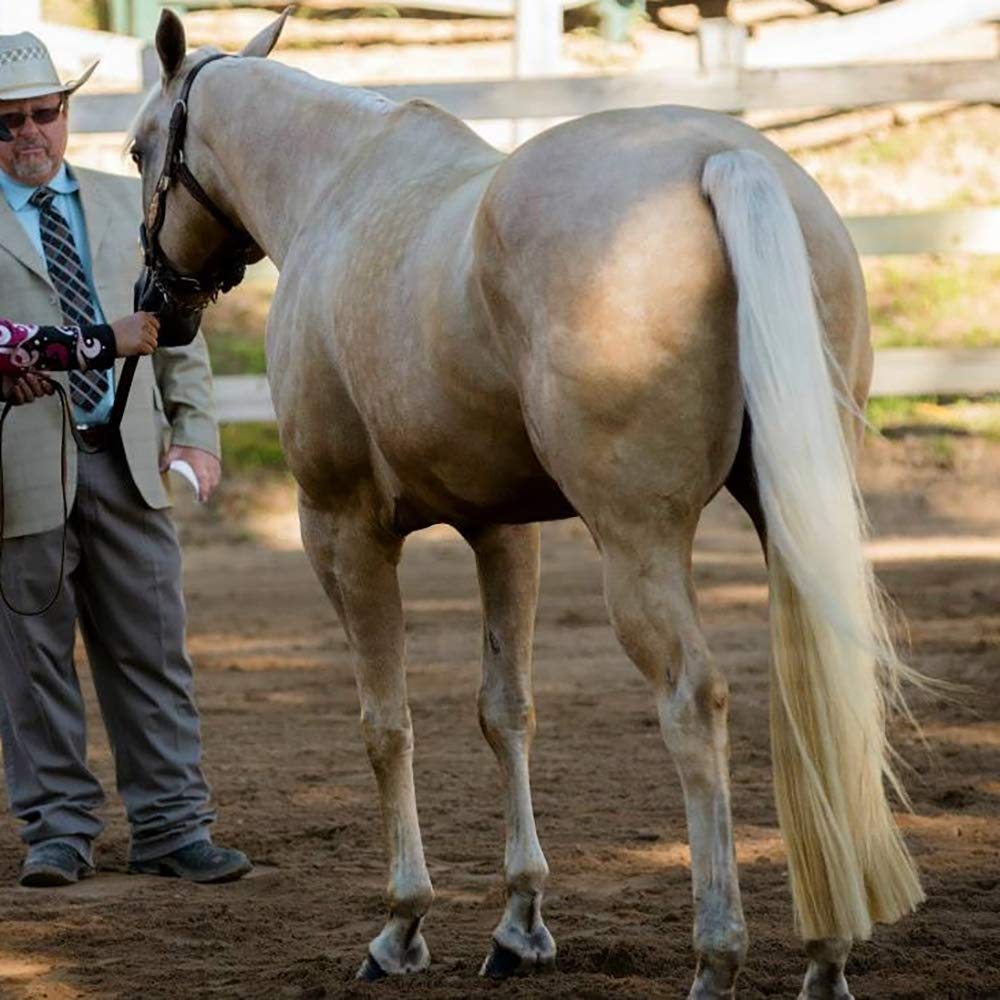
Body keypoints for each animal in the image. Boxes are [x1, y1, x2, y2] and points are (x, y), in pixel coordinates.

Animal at [129, 10, 924, 997]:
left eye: (136, 150)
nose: (155, 303)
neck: (336, 186)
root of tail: (724, 158)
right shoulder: (503, 532)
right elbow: (504, 711)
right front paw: (520, 922)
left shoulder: (343, 533)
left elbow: (385, 725)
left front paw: (403, 925)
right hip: (790, 518)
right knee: (809, 688)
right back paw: (827, 957)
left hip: (637, 545)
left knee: (693, 699)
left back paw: (718, 955)